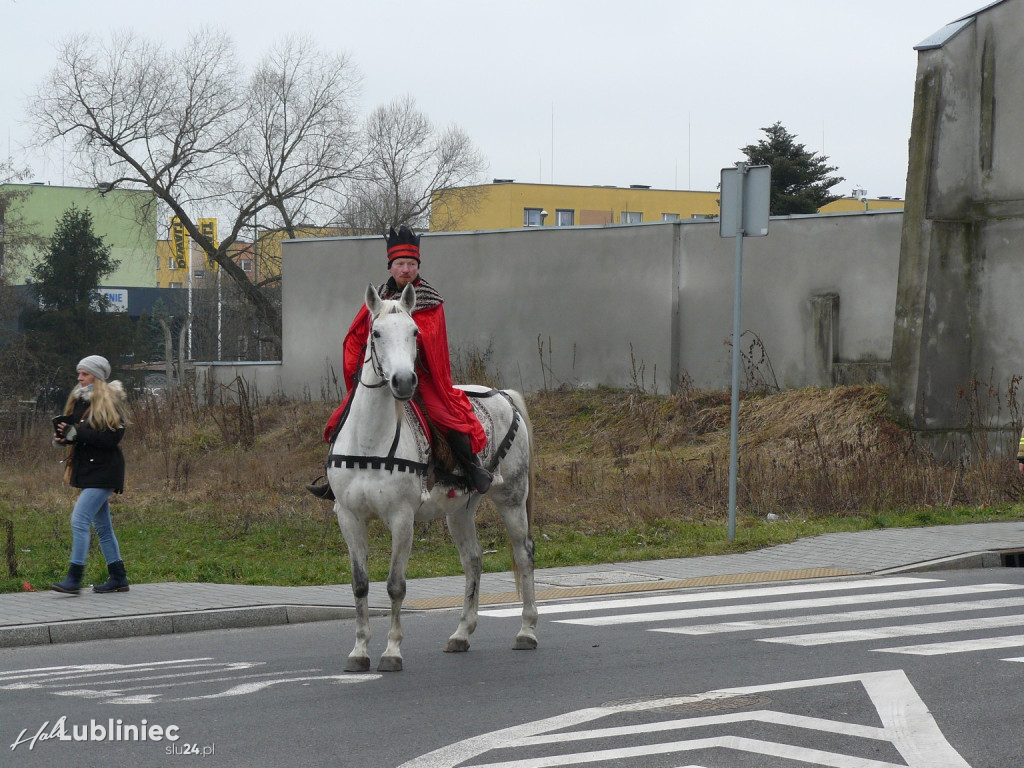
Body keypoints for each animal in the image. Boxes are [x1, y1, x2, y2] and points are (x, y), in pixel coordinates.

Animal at [327, 284, 540, 671]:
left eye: (415, 333)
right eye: (375, 333)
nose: (403, 381)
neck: (370, 439)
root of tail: (503, 395)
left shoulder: (402, 518)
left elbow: (395, 585)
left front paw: (392, 652)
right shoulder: (349, 517)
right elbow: (360, 584)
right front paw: (359, 651)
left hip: (512, 498)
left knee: (523, 552)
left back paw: (527, 630)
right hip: (460, 510)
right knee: (473, 559)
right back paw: (462, 633)